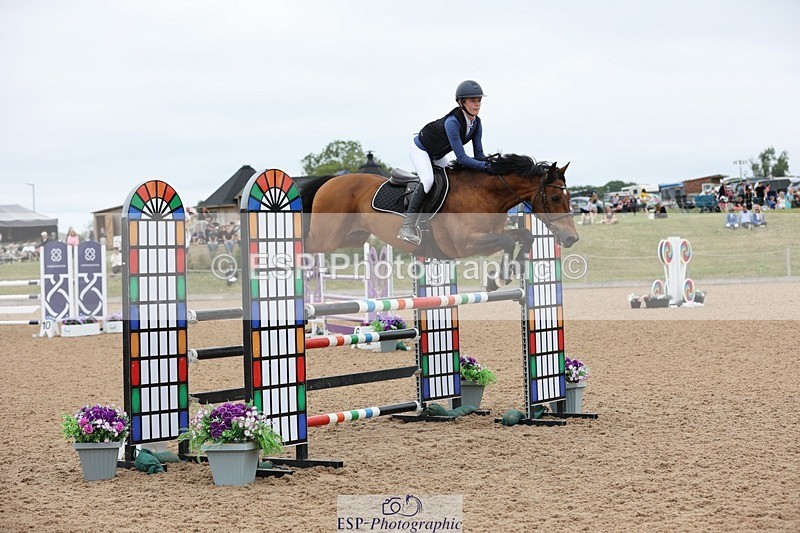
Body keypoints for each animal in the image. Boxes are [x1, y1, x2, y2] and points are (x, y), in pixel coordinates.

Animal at [299, 153, 579, 270]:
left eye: (568, 197)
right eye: (555, 197)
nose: (571, 238)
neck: (484, 194)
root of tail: (331, 180)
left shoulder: (487, 242)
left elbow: (523, 236)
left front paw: (518, 266)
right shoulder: (465, 244)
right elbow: (508, 242)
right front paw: (500, 279)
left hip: (354, 237)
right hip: (326, 237)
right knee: (307, 243)